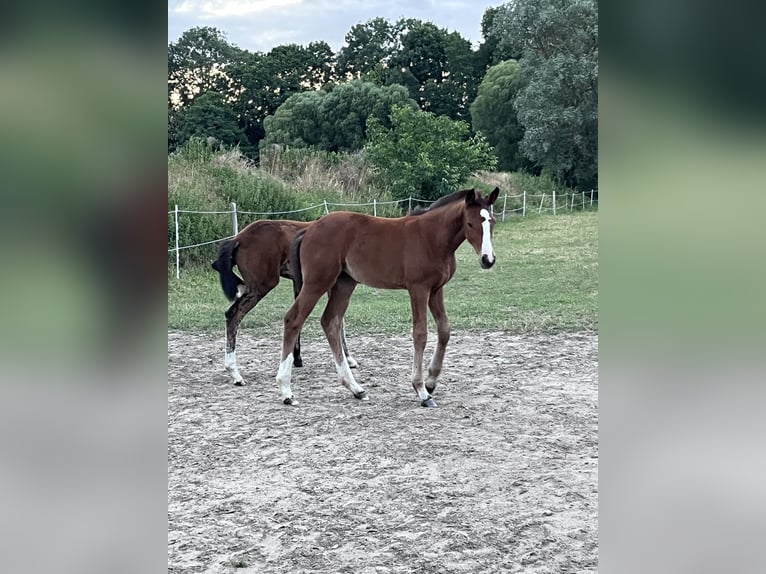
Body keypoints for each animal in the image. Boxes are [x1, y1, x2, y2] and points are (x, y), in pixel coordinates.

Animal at [212, 219, 356, 386]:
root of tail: (238, 238)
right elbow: (338, 320)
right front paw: (349, 359)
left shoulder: (303, 283)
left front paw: (297, 358)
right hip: (263, 285)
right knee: (233, 315)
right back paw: (235, 374)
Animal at [275, 187, 499, 407]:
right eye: (470, 223)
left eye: (492, 221)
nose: (487, 259)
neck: (432, 237)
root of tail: (309, 229)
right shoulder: (418, 288)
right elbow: (420, 334)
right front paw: (421, 390)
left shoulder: (436, 289)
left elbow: (444, 330)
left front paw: (431, 382)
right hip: (317, 282)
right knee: (294, 319)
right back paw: (286, 391)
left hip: (344, 284)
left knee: (330, 321)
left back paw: (356, 388)